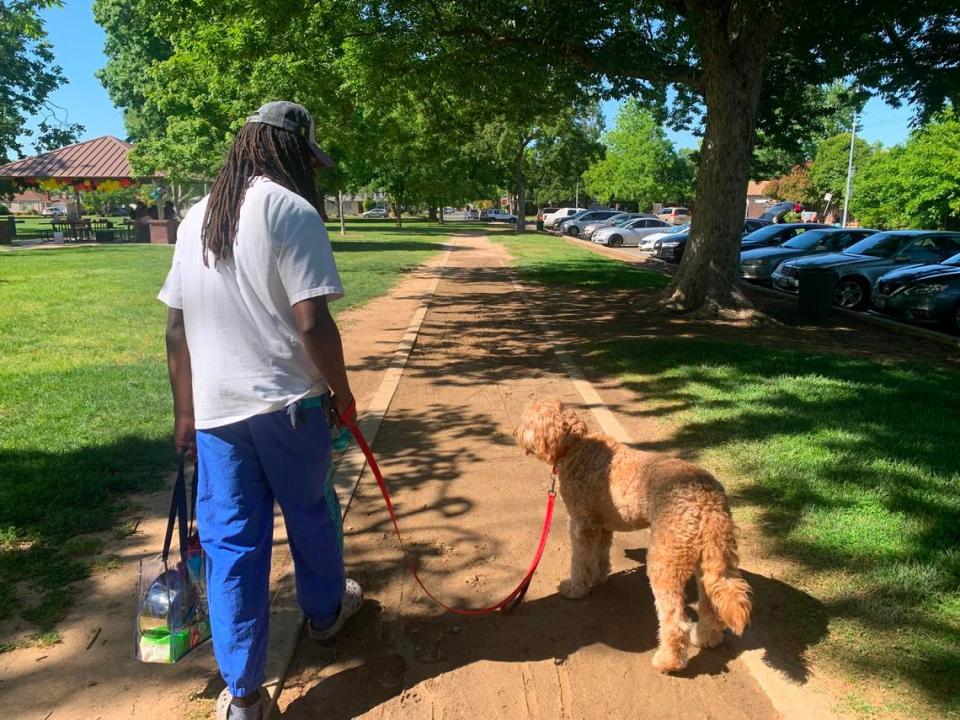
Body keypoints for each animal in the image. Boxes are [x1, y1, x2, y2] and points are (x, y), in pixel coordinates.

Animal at [516, 396, 752, 672]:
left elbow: (580, 560)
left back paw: (668, 661)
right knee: (710, 606)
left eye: (527, 420)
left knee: (675, 620)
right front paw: (598, 577)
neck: (575, 446)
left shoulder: (581, 523)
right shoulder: (602, 525)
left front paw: (576, 588)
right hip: (706, 559)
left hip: (665, 560)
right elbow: (600, 555)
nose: (515, 432)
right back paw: (706, 638)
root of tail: (708, 499)